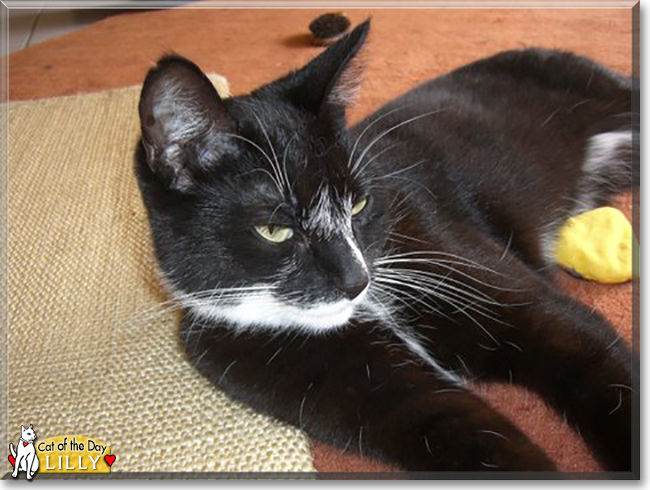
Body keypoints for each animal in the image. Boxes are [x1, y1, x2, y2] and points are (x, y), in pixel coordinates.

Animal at [134, 21, 636, 472]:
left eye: (358, 203)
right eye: (275, 230)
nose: (356, 280)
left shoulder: (448, 250)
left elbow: (579, 345)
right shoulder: (293, 364)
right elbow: (461, 430)